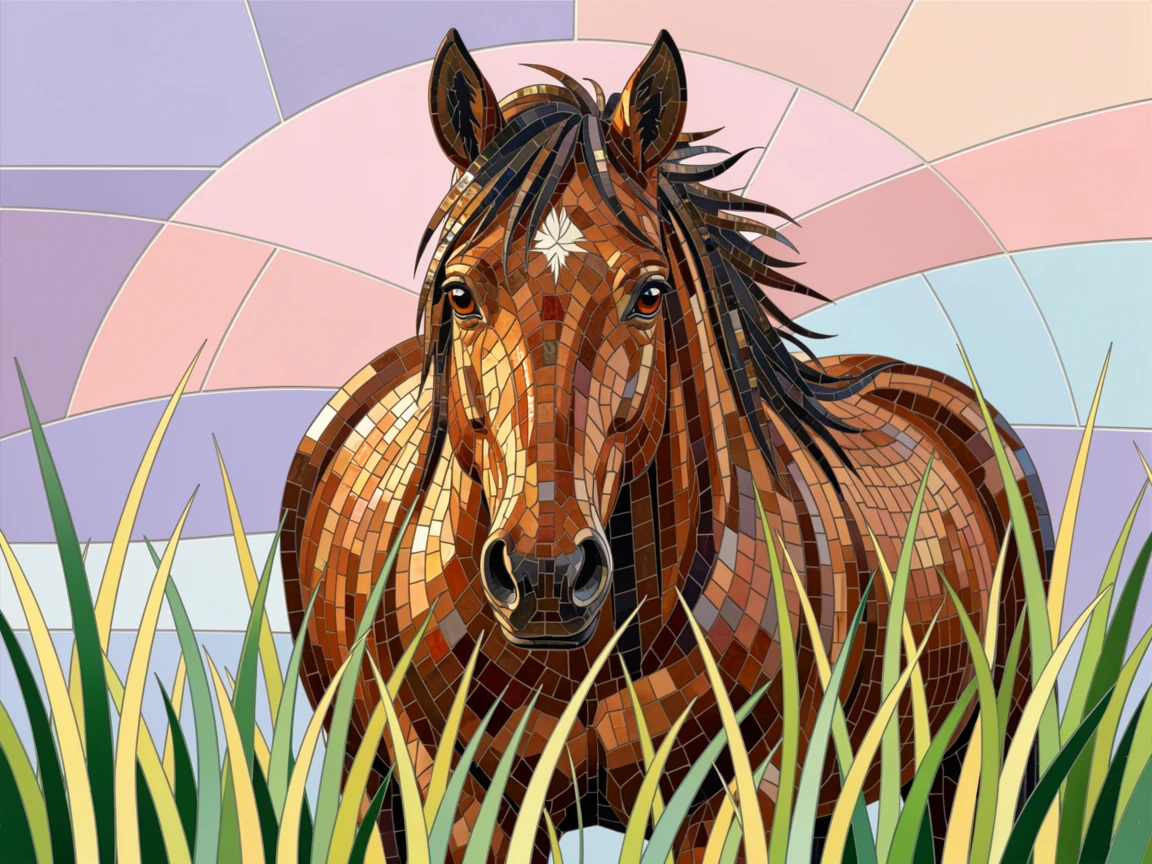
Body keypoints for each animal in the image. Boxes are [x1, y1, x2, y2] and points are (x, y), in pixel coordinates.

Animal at [280, 29, 1053, 863]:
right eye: (460, 292)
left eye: (649, 292)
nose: (546, 575)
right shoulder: (458, 804)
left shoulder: (742, 801)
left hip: (976, 750)